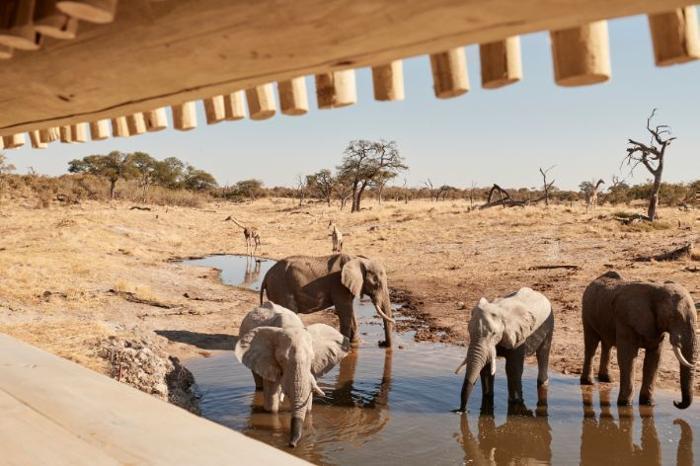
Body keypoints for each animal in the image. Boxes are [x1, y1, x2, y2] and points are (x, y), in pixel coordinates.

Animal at [235, 302, 351, 447]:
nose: (292, 444)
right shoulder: (268, 359)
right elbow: (272, 403)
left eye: (312, 358)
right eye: (282, 359)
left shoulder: (312, 368)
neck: (290, 327)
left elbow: (307, 403)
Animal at [260, 254, 395, 347]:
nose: (381, 343)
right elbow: (344, 311)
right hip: (280, 288)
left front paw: (355, 344)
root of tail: (266, 276)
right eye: (376, 284)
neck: (358, 259)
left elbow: (350, 312)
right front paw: (347, 345)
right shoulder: (339, 285)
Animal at [580, 271, 697, 409]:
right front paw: (625, 404)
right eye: (673, 317)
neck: (657, 290)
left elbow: (654, 359)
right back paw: (589, 382)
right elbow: (627, 358)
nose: (676, 402)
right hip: (586, 312)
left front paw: (649, 403)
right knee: (591, 345)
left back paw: (607, 379)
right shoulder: (625, 320)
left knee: (606, 344)